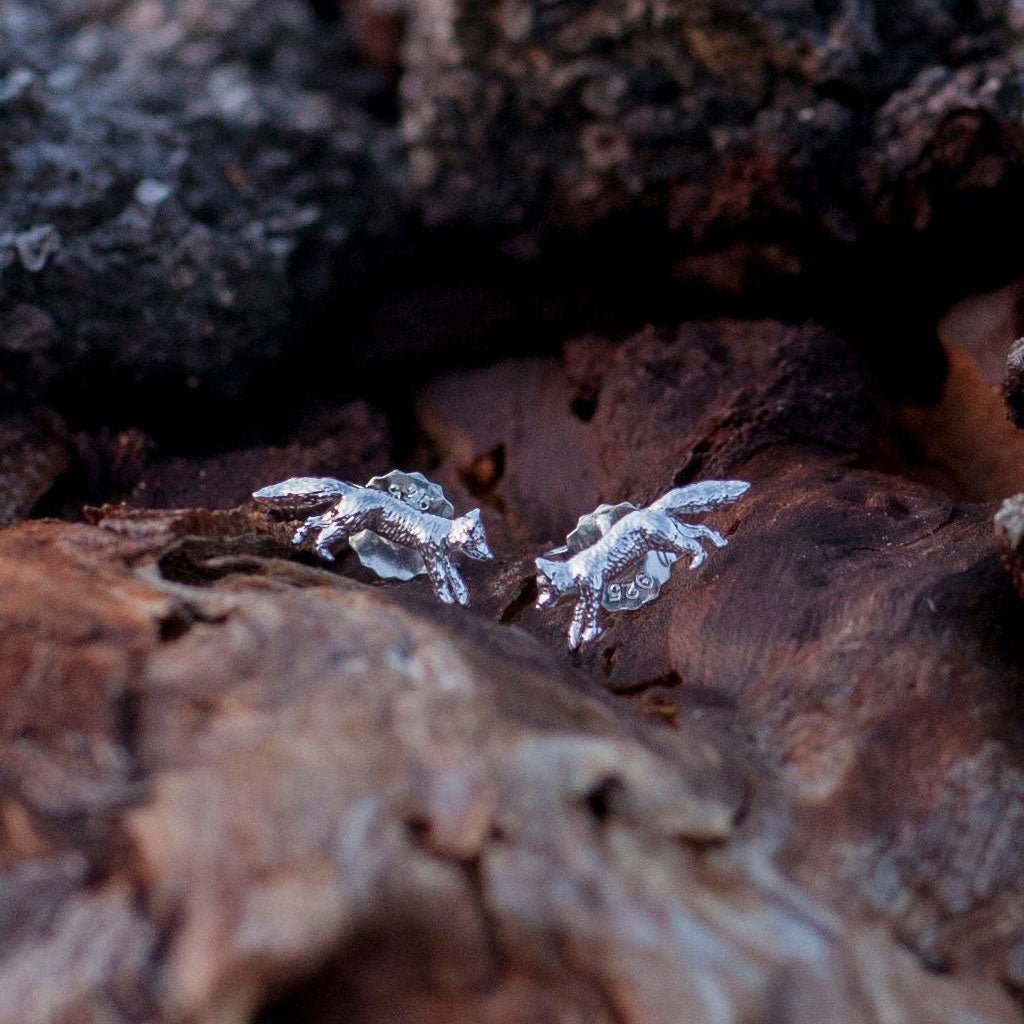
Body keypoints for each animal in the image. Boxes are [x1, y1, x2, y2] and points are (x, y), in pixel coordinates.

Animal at [253, 477, 492, 606]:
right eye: (477, 540)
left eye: (484, 539)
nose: (490, 556)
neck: (442, 531)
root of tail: (355, 488)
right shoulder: (431, 555)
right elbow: (441, 579)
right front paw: (446, 599)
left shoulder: (446, 559)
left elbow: (457, 579)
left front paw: (462, 599)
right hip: (348, 522)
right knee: (323, 533)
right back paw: (324, 553)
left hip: (338, 516)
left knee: (311, 521)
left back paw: (298, 539)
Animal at [535, 480, 750, 649]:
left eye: (544, 588)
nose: (537, 605)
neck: (574, 570)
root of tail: (650, 509)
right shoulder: (585, 595)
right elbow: (577, 618)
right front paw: (573, 641)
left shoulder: (594, 590)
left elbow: (589, 615)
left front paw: (589, 635)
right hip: (676, 533)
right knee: (703, 530)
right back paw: (721, 543)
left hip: (670, 540)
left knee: (696, 545)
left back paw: (697, 563)